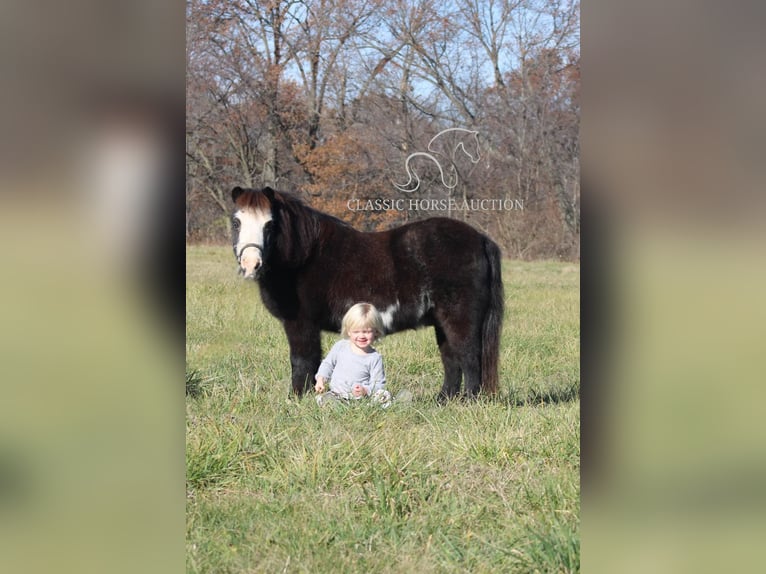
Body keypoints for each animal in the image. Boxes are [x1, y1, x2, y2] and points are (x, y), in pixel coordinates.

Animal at [230, 189, 504, 400]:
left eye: (270, 224)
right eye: (236, 222)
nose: (251, 264)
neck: (305, 256)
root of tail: (481, 239)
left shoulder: (301, 324)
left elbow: (302, 361)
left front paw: (298, 399)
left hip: (460, 320)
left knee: (469, 357)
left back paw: (468, 401)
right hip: (442, 323)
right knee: (451, 359)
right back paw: (444, 400)